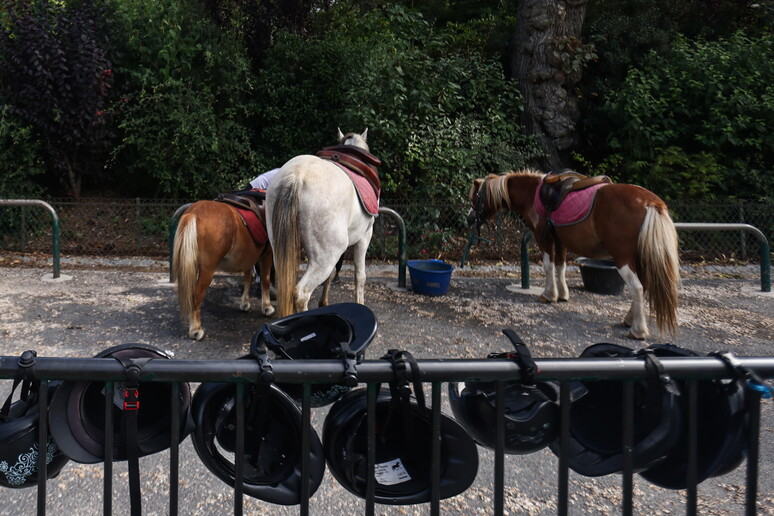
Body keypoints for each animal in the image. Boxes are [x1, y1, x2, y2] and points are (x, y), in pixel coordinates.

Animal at [174, 200, 276, 340]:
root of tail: (194, 212)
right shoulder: (267, 255)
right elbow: (265, 280)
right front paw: (267, 307)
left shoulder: (248, 257)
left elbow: (248, 277)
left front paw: (245, 303)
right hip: (207, 270)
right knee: (196, 295)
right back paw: (196, 329)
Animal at [266, 127, 378, 316]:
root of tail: (297, 175)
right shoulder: (365, 236)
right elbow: (360, 276)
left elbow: (332, 275)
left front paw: (324, 302)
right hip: (326, 256)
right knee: (301, 293)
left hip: (279, 247)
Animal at [466, 169, 680, 338]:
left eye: (475, 198)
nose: (469, 219)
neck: (533, 194)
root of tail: (651, 202)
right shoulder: (560, 241)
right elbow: (560, 267)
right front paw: (562, 295)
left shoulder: (544, 238)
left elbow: (548, 266)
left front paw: (549, 295)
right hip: (638, 257)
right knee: (643, 286)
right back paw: (629, 319)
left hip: (623, 258)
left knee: (636, 287)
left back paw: (638, 330)